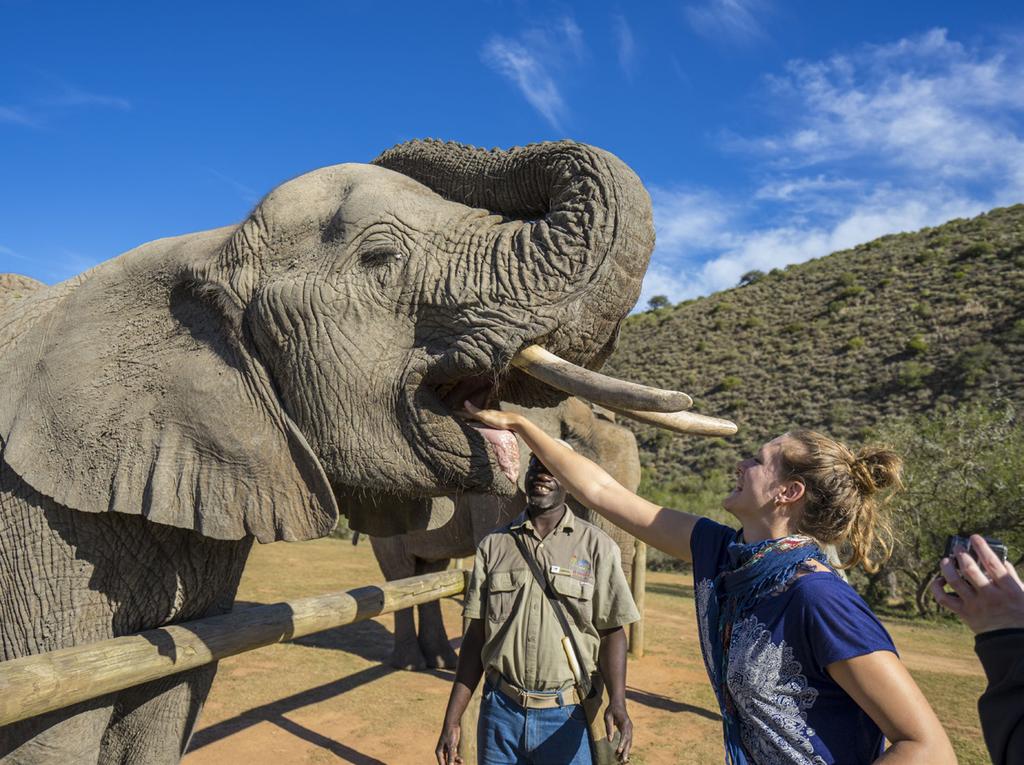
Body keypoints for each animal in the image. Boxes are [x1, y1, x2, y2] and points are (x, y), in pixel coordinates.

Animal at [368, 397, 638, 671]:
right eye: (579, 497)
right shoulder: (490, 492)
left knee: (431, 570)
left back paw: (442, 660)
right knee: (400, 571)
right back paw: (411, 664)